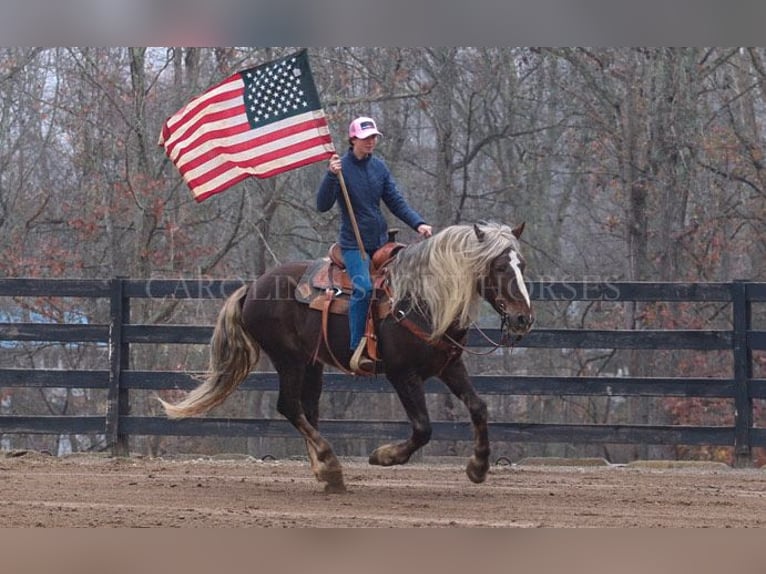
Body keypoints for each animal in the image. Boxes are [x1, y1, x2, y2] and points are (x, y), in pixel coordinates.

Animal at [160, 222, 536, 496]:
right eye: (499, 266)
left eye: (522, 265)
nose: (523, 319)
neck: (424, 300)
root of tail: (252, 288)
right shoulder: (402, 374)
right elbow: (423, 428)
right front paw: (385, 456)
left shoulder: (450, 366)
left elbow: (479, 407)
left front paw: (478, 466)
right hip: (288, 359)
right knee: (289, 406)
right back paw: (330, 465)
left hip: (311, 362)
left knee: (307, 410)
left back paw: (325, 471)